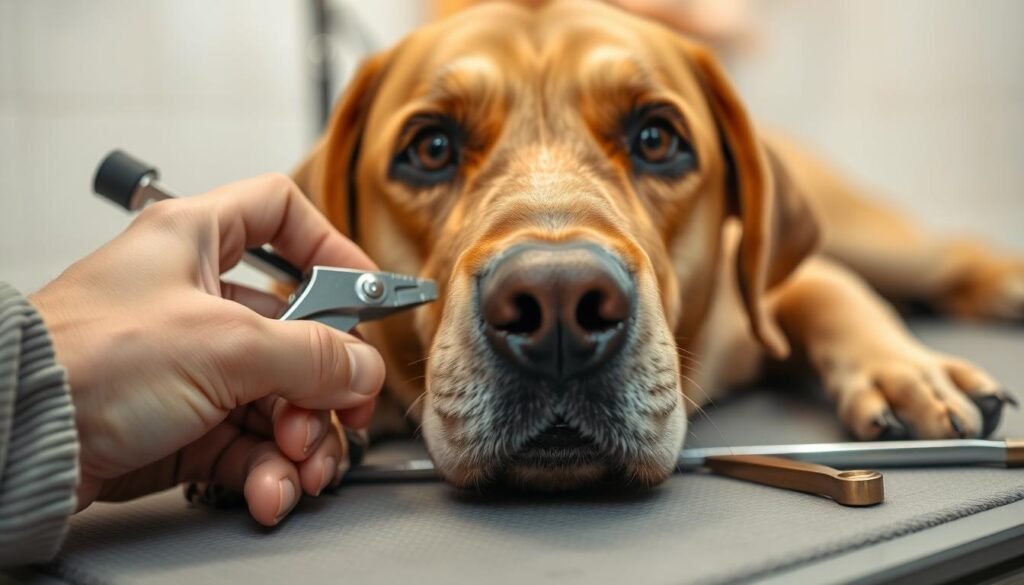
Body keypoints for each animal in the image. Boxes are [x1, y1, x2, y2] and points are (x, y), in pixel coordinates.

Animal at [290, 0, 1024, 491]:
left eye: (655, 138)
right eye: (432, 148)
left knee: (950, 249)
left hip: (875, 235)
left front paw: (906, 372)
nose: (558, 305)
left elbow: (827, 287)